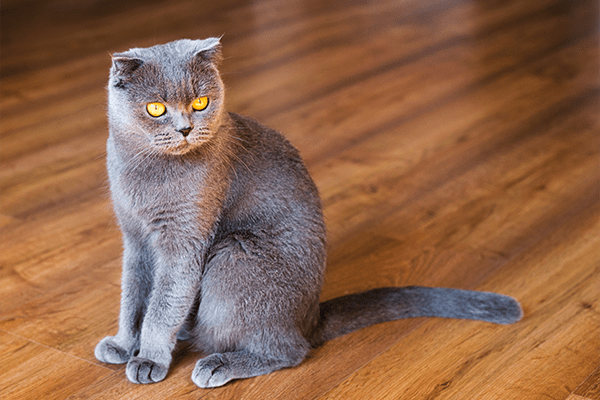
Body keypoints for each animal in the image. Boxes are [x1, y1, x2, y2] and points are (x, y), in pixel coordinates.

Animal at [94, 37, 520, 388]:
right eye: (155, 108)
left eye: (200, 103)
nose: (185, 129)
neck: (145, 169)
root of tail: (311, 317)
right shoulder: (135, 238)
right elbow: (133, 296)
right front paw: (124, 343)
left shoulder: (183, 242)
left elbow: (163, 304)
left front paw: (149, 358)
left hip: (235, 257)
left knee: (289, 350)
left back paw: (219, 364)